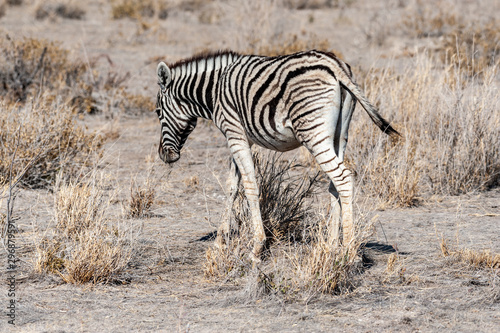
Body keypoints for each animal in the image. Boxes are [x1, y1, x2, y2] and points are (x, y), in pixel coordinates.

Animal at [155, 50, 398, 262]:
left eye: (157, 112)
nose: (164, 156)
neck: (214, 91)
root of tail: (335, 65)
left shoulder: (234, 133)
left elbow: (250, 187)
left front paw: (257, 247)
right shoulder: (241, 138)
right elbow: (232, 187)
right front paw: (220, 242)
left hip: (313, 131)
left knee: (343, 178)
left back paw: (349, 251)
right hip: (340, 134)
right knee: (334, 183)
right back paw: (330, 247)